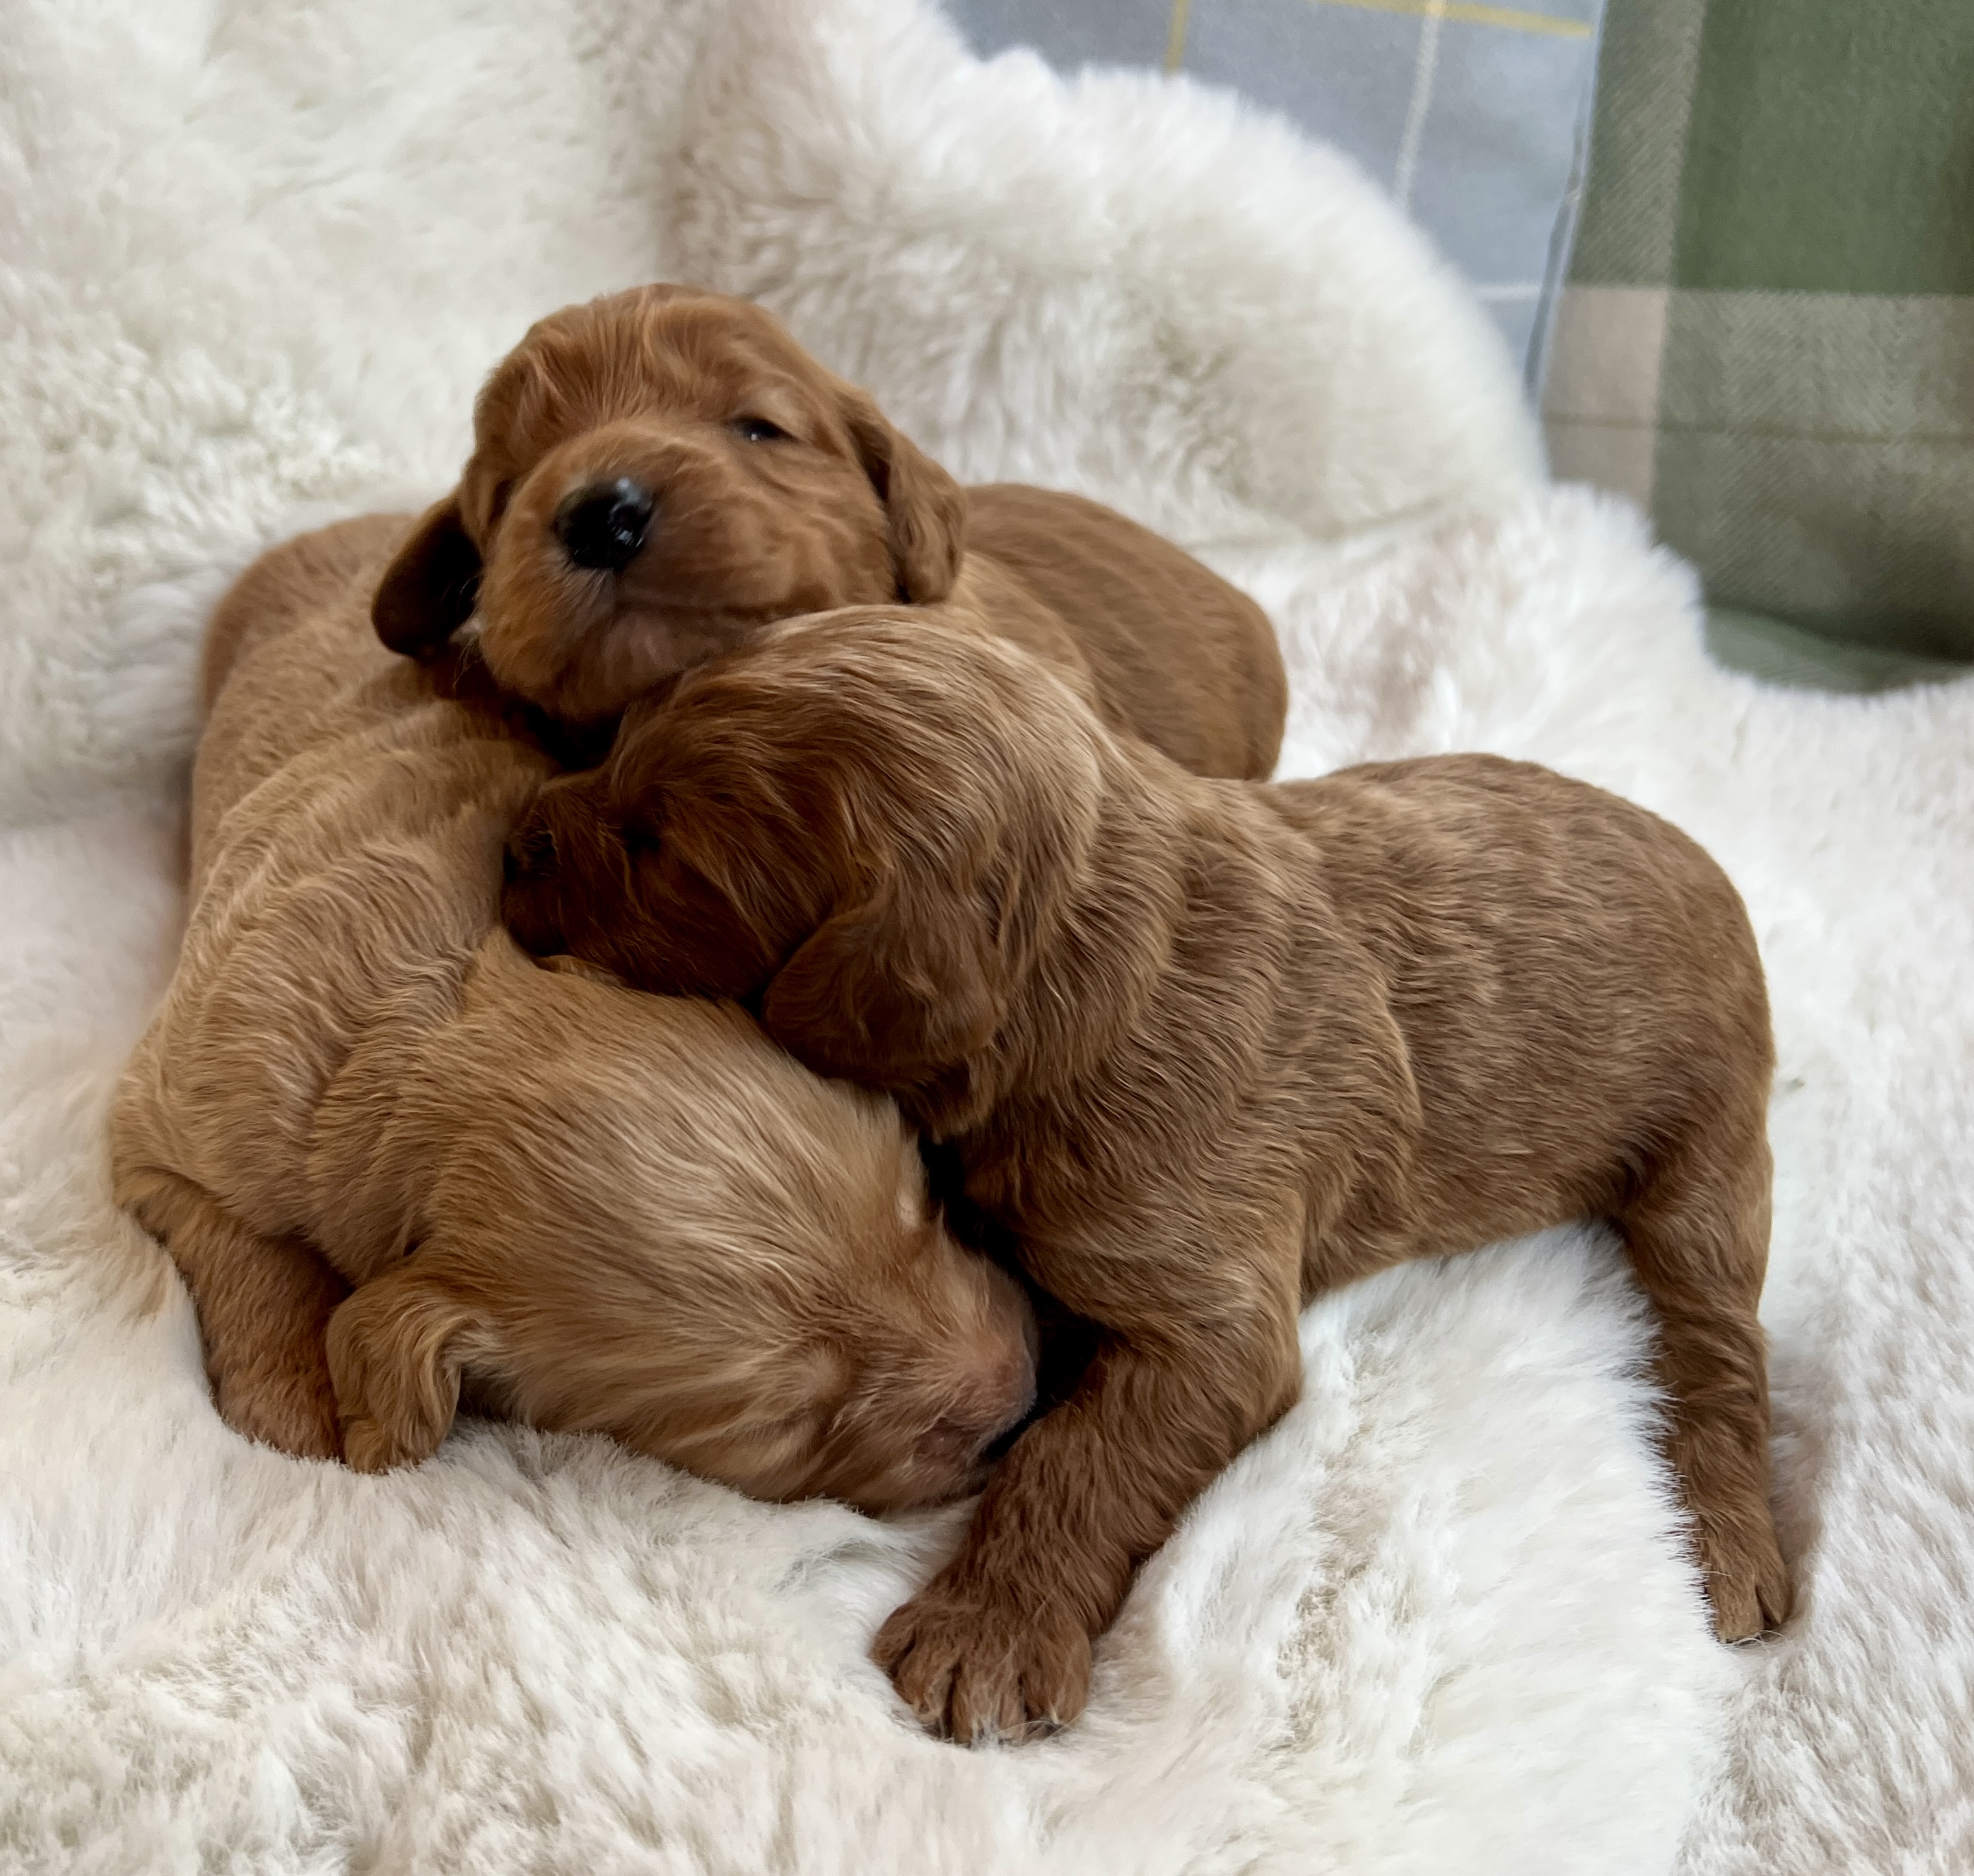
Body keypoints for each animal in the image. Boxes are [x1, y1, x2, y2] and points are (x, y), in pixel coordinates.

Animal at [110, 520, 1038, 1513]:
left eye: (924, 1206)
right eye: (788, 1425)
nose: (1021, 1401)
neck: (439, 1029)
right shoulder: (170, 1131)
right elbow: (253, 1261)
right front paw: (295, 1411)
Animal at [502, 610, 1793, 1742]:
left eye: (659, 851)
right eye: (619, 737)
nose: (512, 836)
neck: (1089, 966)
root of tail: (1714, 872)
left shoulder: (1201, 1305)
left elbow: (1077, 1456)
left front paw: (985, 1632)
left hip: (1704, 1150)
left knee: (1718, 1347)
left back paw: (1730, 1548)